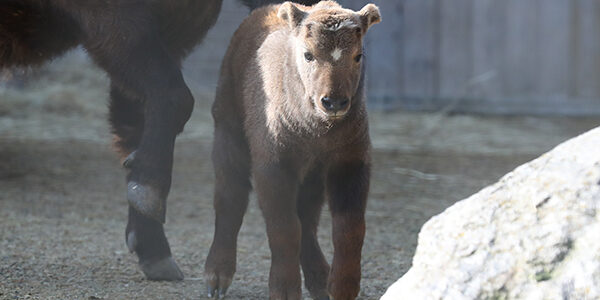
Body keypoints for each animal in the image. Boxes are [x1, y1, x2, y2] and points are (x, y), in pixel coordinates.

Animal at [206, 1, 382, 298]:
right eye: (308, 55)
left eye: (358, 55)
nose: (334, 102)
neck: (316, 130)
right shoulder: (273, 165)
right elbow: (284, 228)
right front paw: (284, 289)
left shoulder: (350, 162)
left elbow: (349, 228)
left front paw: (342, 287)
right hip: (228, 131)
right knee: (230, 196)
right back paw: (217, 276)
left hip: (312, 176)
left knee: (307, 220)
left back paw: (320, 280)